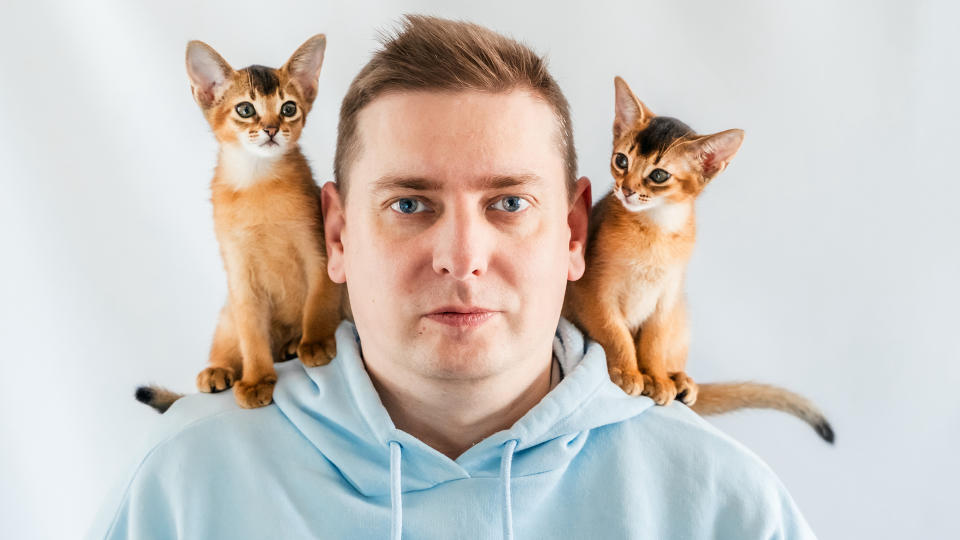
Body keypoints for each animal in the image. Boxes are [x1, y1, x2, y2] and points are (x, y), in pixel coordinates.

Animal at [137, 34, 344, 410]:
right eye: (245, 109)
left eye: (288, 108)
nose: (272, 129)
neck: (257, 182)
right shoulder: (239, 273)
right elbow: (251, 335)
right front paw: (257, 379)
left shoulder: (319, 251)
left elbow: (318, 302)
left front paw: (316, 342)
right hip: (227, 311)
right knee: (231, 339)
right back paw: (218, 370)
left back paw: (293, 345)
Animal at [564, 77, 832, 442]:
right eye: (621, 160)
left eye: (658, 176)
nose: (627, 190)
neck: (655, 231)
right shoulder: (594, 292)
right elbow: (616, 335)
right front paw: (629, 371)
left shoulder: (666, 297)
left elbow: (654, 342)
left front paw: (656, 378)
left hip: (681, 311)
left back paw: (679, 381)